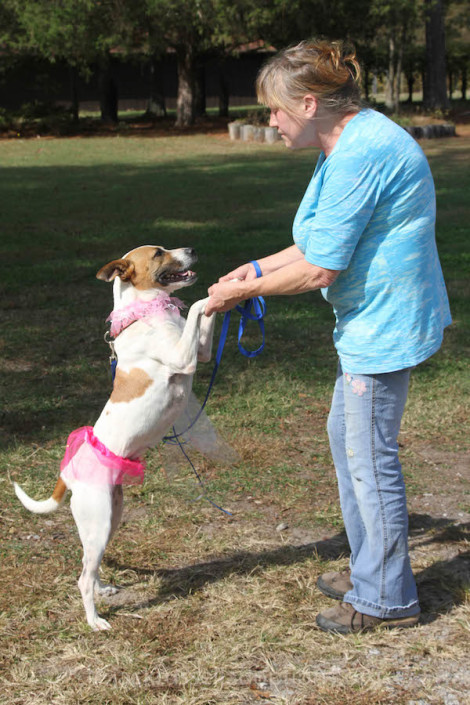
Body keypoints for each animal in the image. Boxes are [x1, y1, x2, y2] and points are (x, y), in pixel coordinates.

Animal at [12, 245, 215, 628]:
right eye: (159, 253)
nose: (193, 249)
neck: (146, 314)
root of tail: (68, 473)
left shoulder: (200, 352)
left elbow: (205, 321)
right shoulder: (184, 357)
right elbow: (197, 306)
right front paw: (212, 295)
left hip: (109, 521)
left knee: (89, 567)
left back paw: (103, 589)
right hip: (100, 519)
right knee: (82, 578)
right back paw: (95, 621)